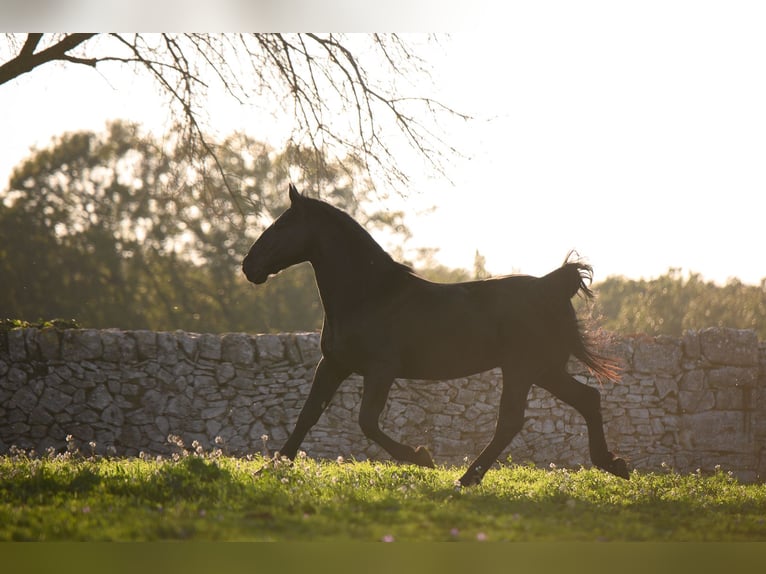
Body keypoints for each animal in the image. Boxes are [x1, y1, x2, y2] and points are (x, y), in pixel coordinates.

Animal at [242, 184, 629, 485]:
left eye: (280, 225)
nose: (248, 266)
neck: (370, 295)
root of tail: (553, 286)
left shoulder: (380, 370)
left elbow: (367, 422)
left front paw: (421, 456)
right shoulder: (334, 364)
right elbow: (307, 416)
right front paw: (269, 470)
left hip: (523, 369)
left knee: (511, 421)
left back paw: (467, 478)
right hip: (544, 370)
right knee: (587, 399)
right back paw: (613, 464)